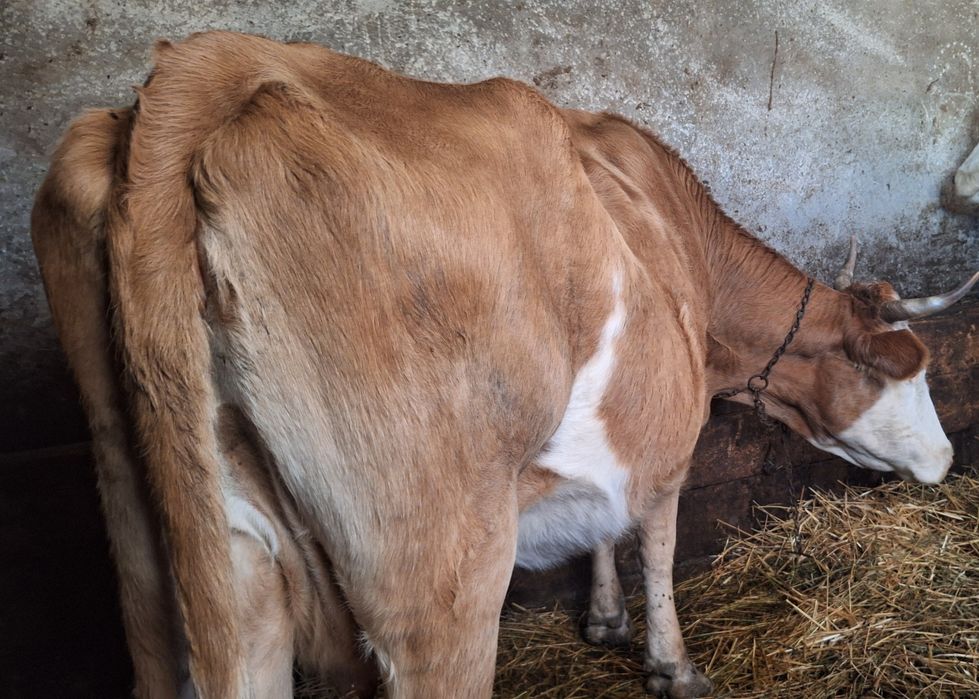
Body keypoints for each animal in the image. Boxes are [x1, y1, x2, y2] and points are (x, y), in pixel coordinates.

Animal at [31, 31, 977, 698]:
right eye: (905, 369)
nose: (945, 458)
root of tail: (198, 77)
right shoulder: (669, 437)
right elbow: (658, 542)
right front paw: (670, 664)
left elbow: (602, 528)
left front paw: (601, 619)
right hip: (438, 575)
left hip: (179, 565)